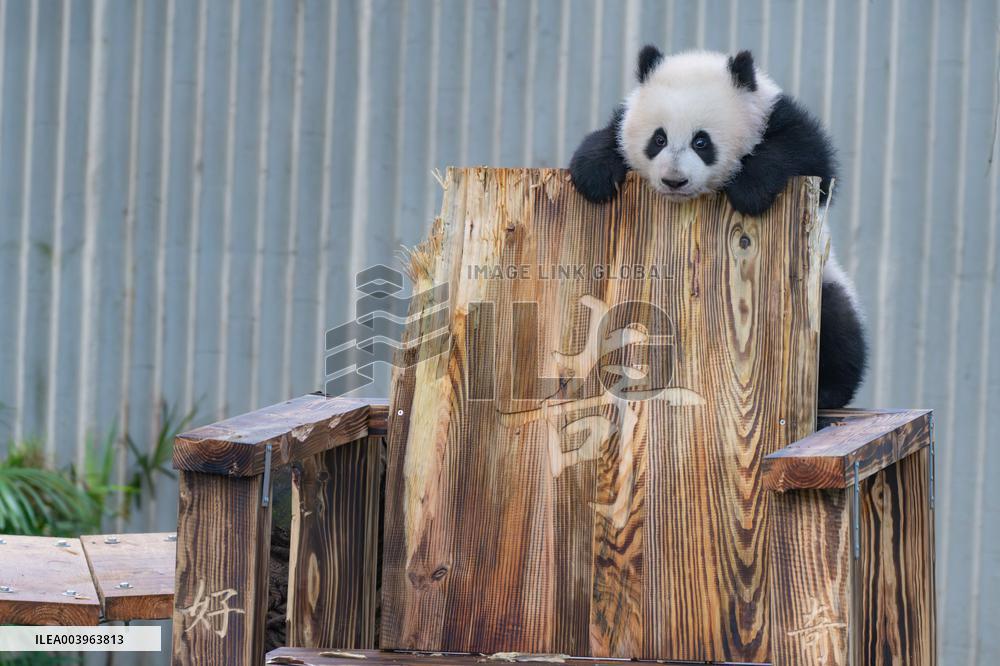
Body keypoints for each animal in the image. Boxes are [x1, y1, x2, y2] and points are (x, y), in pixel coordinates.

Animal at [570, 46, 867, 409]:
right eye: (658, 138)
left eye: (702, 141)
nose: (674, 180)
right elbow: (609, 137)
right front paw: (594, 174)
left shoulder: (781, 119)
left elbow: (810, 161)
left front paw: (750, 189)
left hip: (822, 285)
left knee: (839, 327)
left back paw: (829, 392)